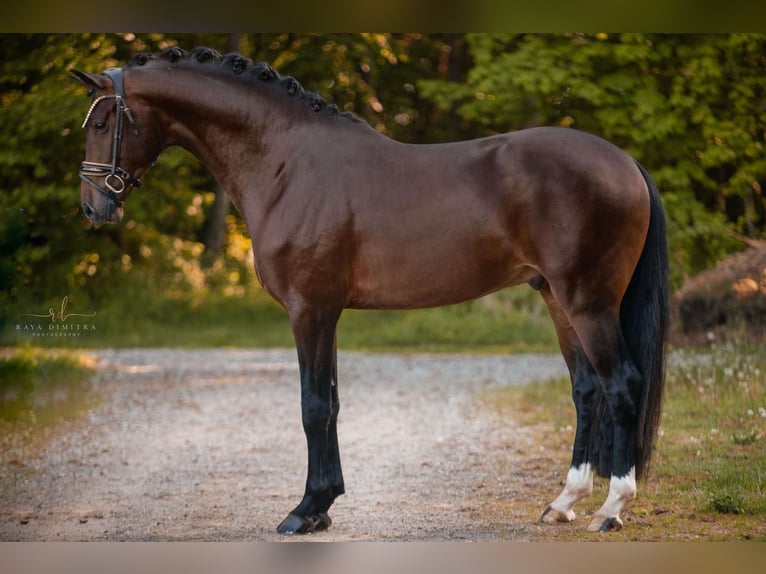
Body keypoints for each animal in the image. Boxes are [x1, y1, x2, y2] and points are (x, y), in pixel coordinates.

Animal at [71, 46, 668, 535]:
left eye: (102, 121)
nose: (93, 207)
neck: (285, 162)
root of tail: (626, 162)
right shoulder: (326, 312)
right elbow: (332, 403)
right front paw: (324, 505)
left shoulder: (309, 310)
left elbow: (312, 406)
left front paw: (305, 511)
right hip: (556, 298)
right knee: (586, 389)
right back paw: (563, 502)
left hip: (588, 302)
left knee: (621, 385)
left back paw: (611, 509)